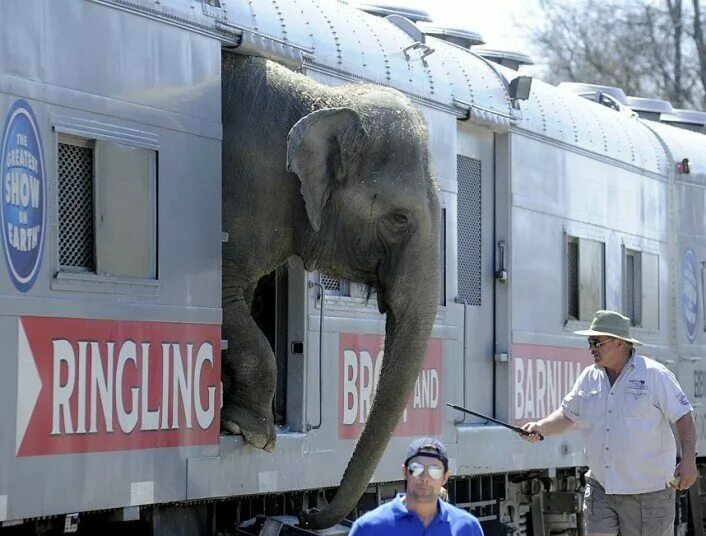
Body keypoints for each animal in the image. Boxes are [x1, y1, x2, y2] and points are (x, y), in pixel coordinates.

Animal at [221, 52, 440, 528]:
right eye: (399, 219)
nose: (307, 512)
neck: (321, 98)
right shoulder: (247, 194)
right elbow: (223, 298)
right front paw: (251, 433)